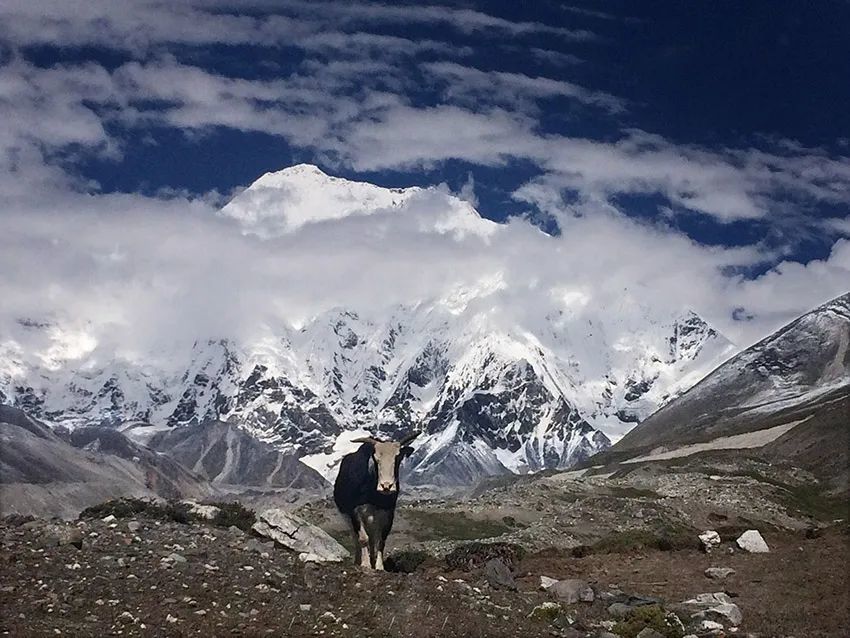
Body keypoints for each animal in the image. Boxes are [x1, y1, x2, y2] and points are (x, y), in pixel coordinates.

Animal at [334, 432, 420, 572]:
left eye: (398, 457)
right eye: (375, 458)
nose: (386, 486)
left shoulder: (388, 512)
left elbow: (381, 541)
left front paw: (379, 566)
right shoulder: (354, 510)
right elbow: (363, 538)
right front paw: (365, 564)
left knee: (373, 538)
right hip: (347, 516)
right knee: (355, 537)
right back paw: (358, 560)